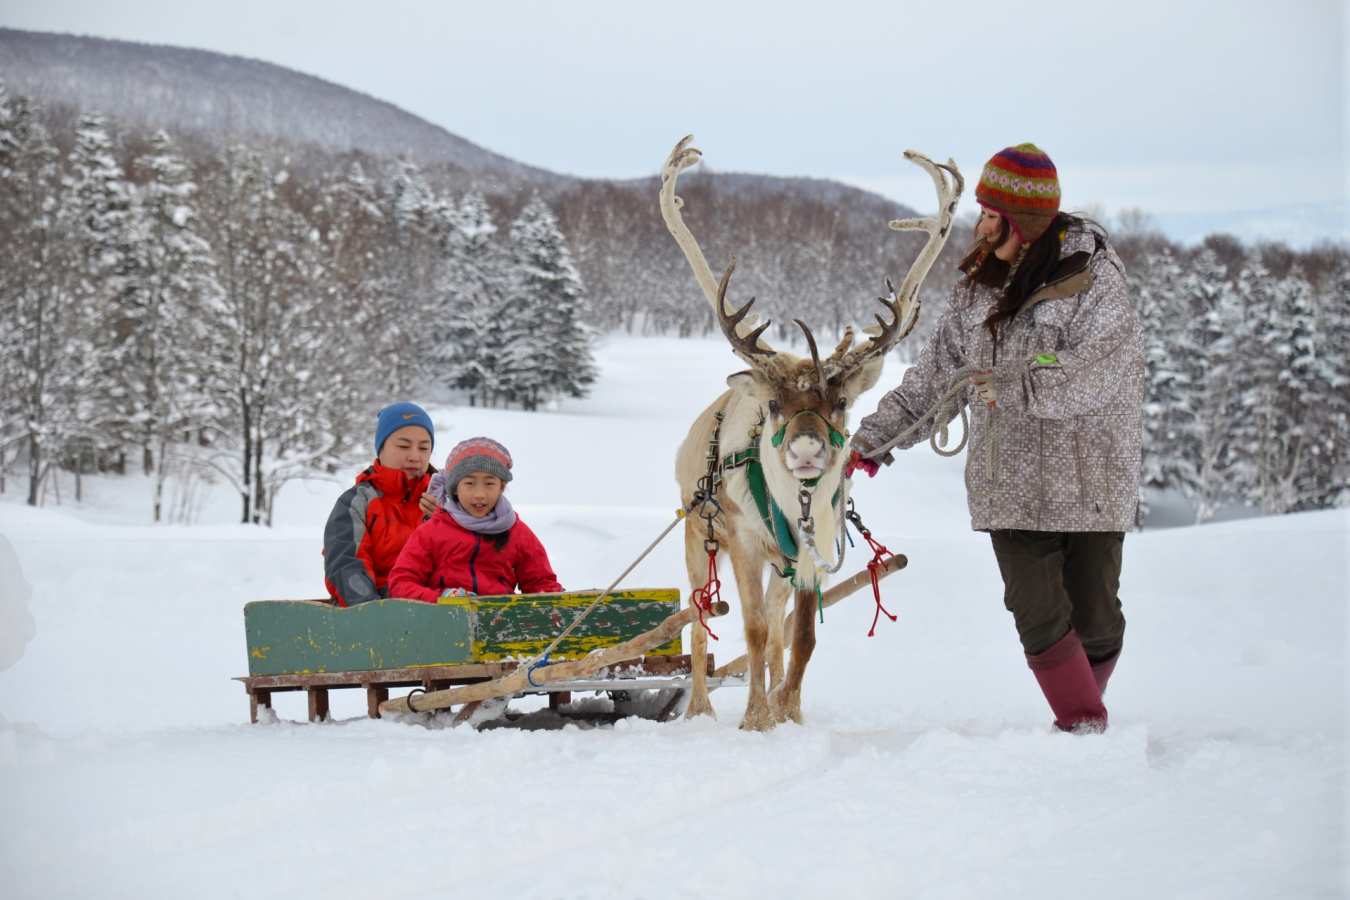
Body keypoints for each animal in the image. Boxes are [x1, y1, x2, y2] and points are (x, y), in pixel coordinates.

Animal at [661, 135, 963, 731]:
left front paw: (788, 713)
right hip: (697, 533)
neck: (794, 502)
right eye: (776, 404)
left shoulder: (814, 548)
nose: (805, 451)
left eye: (841, 402)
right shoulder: (746, 541)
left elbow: (799, 637)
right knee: (699, 617)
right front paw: (754, 719)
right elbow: (752, 631)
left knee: (776, 623)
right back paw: (700, 707)